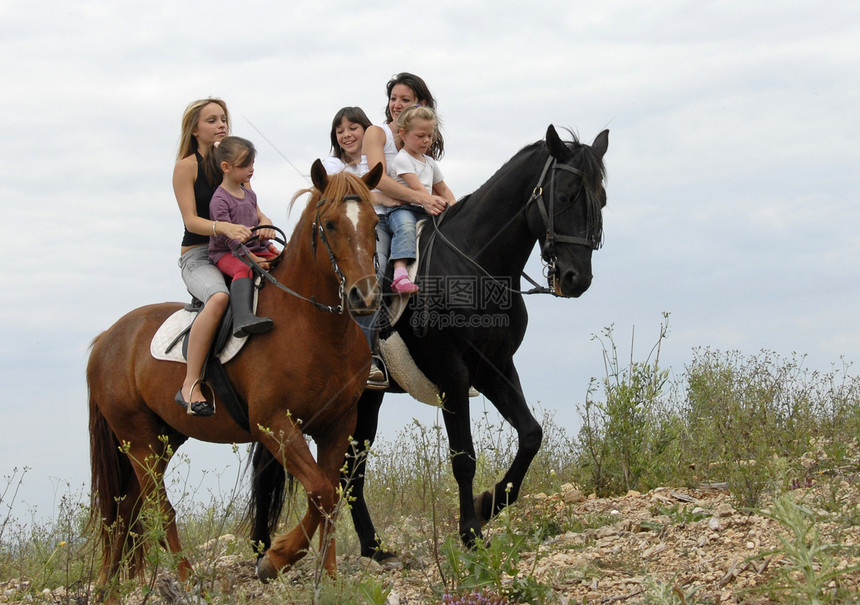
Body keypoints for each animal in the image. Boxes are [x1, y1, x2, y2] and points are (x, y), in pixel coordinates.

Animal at [88, 160, 382, 588]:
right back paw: (187, 578)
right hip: (140, 442)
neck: (311, 324)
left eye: (375, 223)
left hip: (162, 439)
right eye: (329, 224)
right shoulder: (273, 424)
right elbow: (321, 490)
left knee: (126, 509)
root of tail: (106, 339)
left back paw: (111, 583)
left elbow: (328, 496)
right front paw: (276, 558)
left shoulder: (337, 425)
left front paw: (326, 576)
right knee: (158, 508)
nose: (365, 296)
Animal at [245, 125, 608, 564]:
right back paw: (265, 548)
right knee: (277, 465)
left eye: (602, 199)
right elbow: (463, 456)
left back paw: (373, 547)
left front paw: (487, 505)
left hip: (364, 401)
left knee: (351, 470)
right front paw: (471, 532)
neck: (474, 265)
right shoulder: (453, 374)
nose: (577, 278)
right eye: (564, 196)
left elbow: (531, 435)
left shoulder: (495, 367)